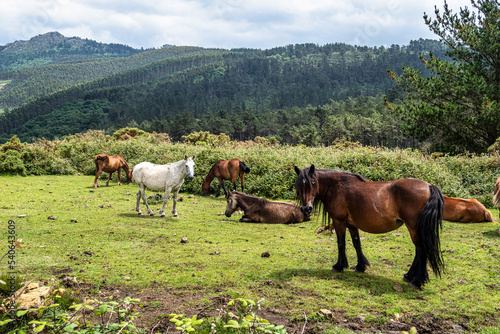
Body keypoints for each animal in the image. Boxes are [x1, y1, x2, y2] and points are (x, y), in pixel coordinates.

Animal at [294, 166, 444, 288]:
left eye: (313, 183)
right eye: (298, 185)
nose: (306, 209)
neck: (337, 187)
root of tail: (429, 186)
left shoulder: (339, 221)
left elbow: (341, 243)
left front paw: (339, 266)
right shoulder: (351, 225)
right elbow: (356, 244)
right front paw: (360, 266)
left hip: (413, 227)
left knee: (421, 250)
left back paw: (417, 281)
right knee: (419, 251)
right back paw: (409, 276)